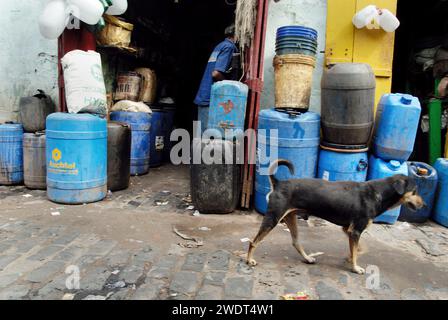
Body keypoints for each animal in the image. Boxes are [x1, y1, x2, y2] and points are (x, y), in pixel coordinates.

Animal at [247, 159, 426, 274]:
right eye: (415, 191)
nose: (424, 205)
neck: (379, 193)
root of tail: (278, 183)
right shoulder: (355, 231)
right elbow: (357, 251)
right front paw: (355, 267)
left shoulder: (348, 229)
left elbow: (360, 249)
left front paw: (350, 258)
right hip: (273, 218)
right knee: (253, 242)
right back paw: (249, 260)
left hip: (290, 218)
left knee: (295, 242)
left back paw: (308, 258)